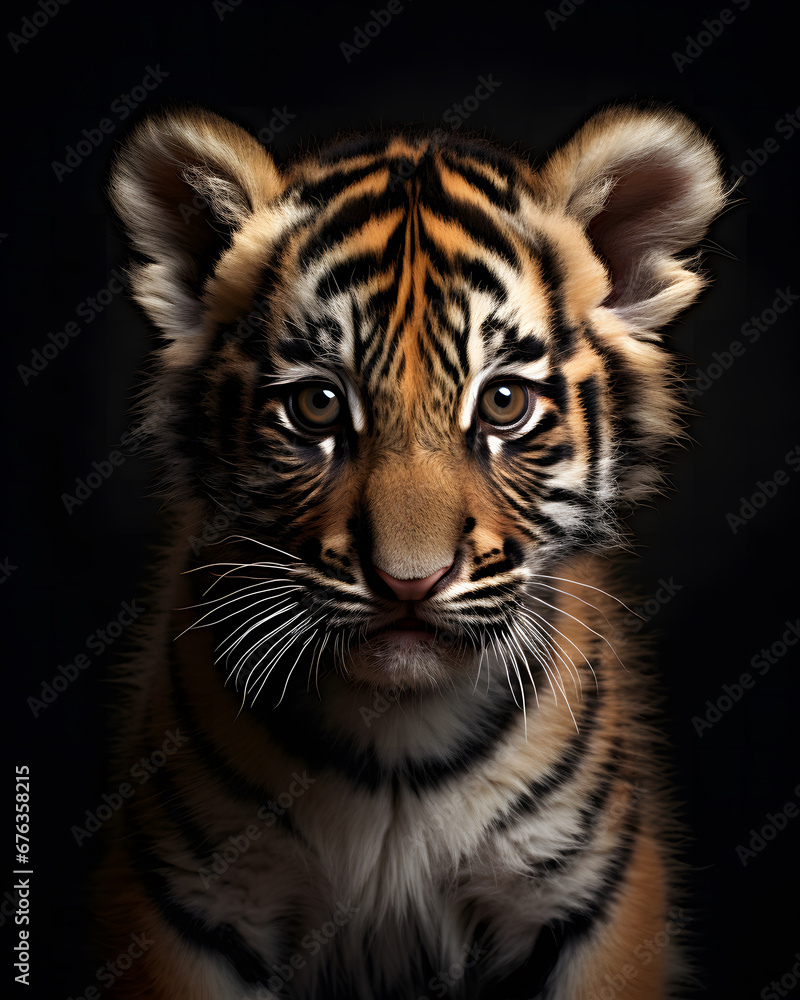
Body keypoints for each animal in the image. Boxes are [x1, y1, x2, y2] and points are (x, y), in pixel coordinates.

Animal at [98, 102, 726, 999]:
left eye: (503, 402)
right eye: (319, 406)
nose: (409, 582)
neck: (396, 743)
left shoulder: (588, 902)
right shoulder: (189, 901)